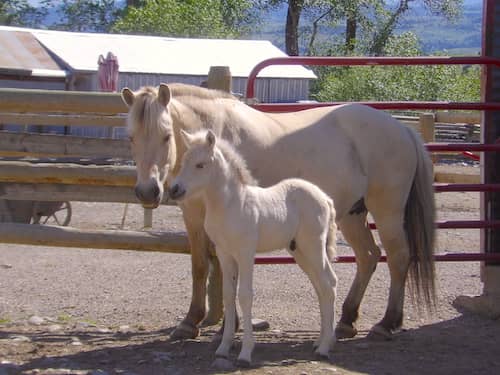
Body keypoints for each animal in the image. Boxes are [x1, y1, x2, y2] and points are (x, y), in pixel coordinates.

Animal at [120, 83, 434, 342]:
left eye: (165, 136)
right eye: (131, 137)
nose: (147, 191)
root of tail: (403, 130)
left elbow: (225, 271)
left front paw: (223, 326)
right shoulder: (195, 217)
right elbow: (201, 266)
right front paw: (191, 322)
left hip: (387, 211)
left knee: (398, 257)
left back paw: (387, 323)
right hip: (352, 215)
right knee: (368, 256)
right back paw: (346, 320)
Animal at [170, 131, 338, 366]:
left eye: (200, 165)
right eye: (184, 161)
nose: (174, 190)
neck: (230, 204)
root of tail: (325, 198)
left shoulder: (246, 253)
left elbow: (245, 295)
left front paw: (245, 353)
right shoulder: (224, 253)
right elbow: (228, 295)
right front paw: (223, 348)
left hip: (313, 246)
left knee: (328, 284)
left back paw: (324, 349)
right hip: (299, 251)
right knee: (321, 287)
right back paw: (322, 342)